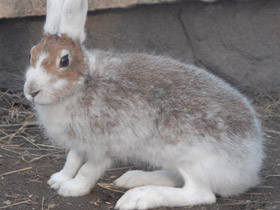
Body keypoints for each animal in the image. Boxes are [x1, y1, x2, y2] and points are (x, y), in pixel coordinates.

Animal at [23, 0, 264, 209]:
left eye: (64, 61)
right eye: (31, 53)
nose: (31, 91)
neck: (83, 83)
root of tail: (251, 162)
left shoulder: (103, 145)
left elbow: (88, 169)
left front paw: (71, 188)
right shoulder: (80, 142)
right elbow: (72, 159)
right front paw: (58, 179)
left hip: (190, 157)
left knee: (200, 193)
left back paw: (137, 197)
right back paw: (133, 178)